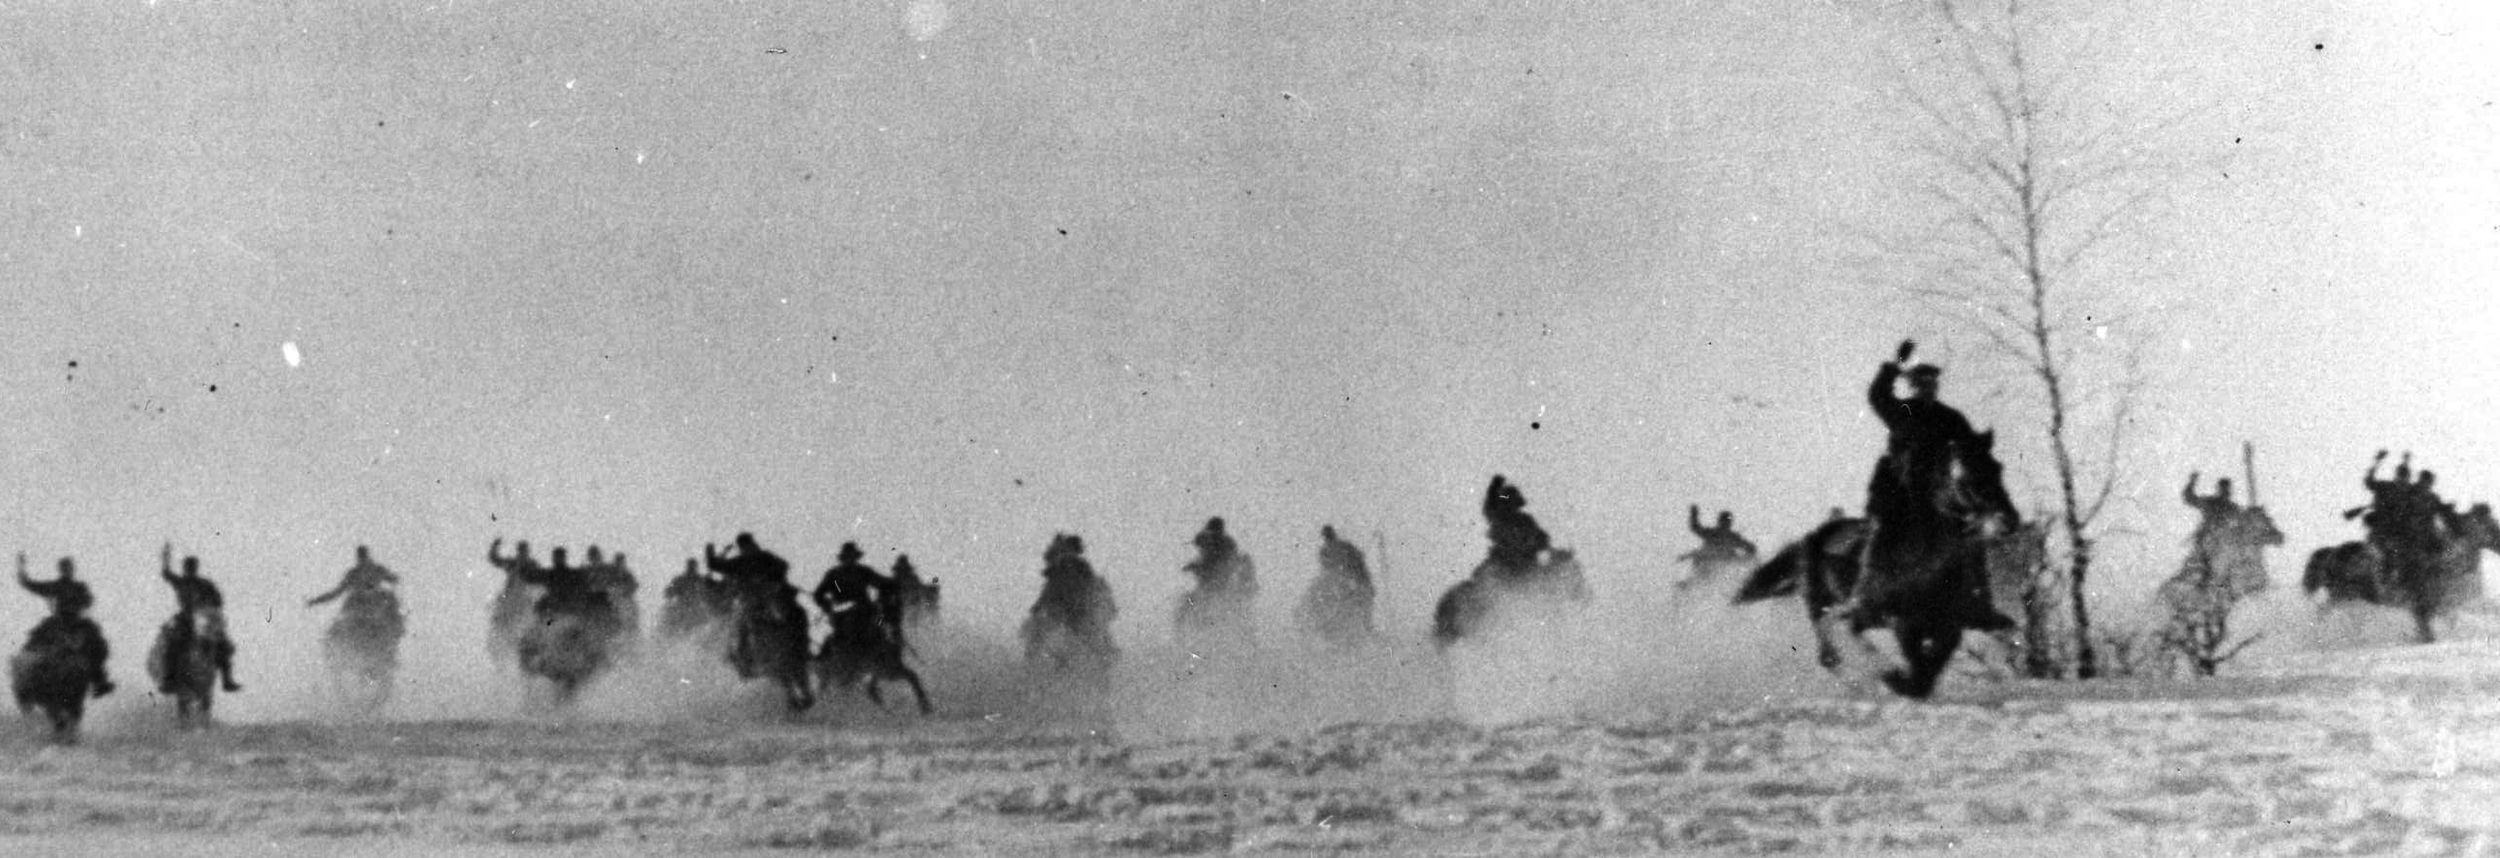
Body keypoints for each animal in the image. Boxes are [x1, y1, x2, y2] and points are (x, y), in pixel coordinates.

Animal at [1750, 432, 2020, 700]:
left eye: (1998, 469)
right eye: (1968, 478)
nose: (2009, 522)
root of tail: (1816, 534)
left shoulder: (1969, 616)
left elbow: (2003, 633)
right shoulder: (1898, 621)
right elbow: (1918, 664)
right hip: (1827, 604)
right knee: (1831, 646)